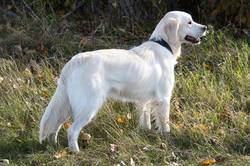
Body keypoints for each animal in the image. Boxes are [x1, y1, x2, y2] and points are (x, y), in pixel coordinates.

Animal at [39, 11, 207, 152]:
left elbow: (145, 119)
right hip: (88, 106)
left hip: (67, 105)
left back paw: (53, 145)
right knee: (71, 130)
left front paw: (145, 133)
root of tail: (72, 62)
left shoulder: (144, 100)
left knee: (55, 126)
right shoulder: (164, 99)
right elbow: (165, 123)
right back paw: (75, 151)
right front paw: (167, 138)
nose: (206, 27)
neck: (163, 44)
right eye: (189, 22)